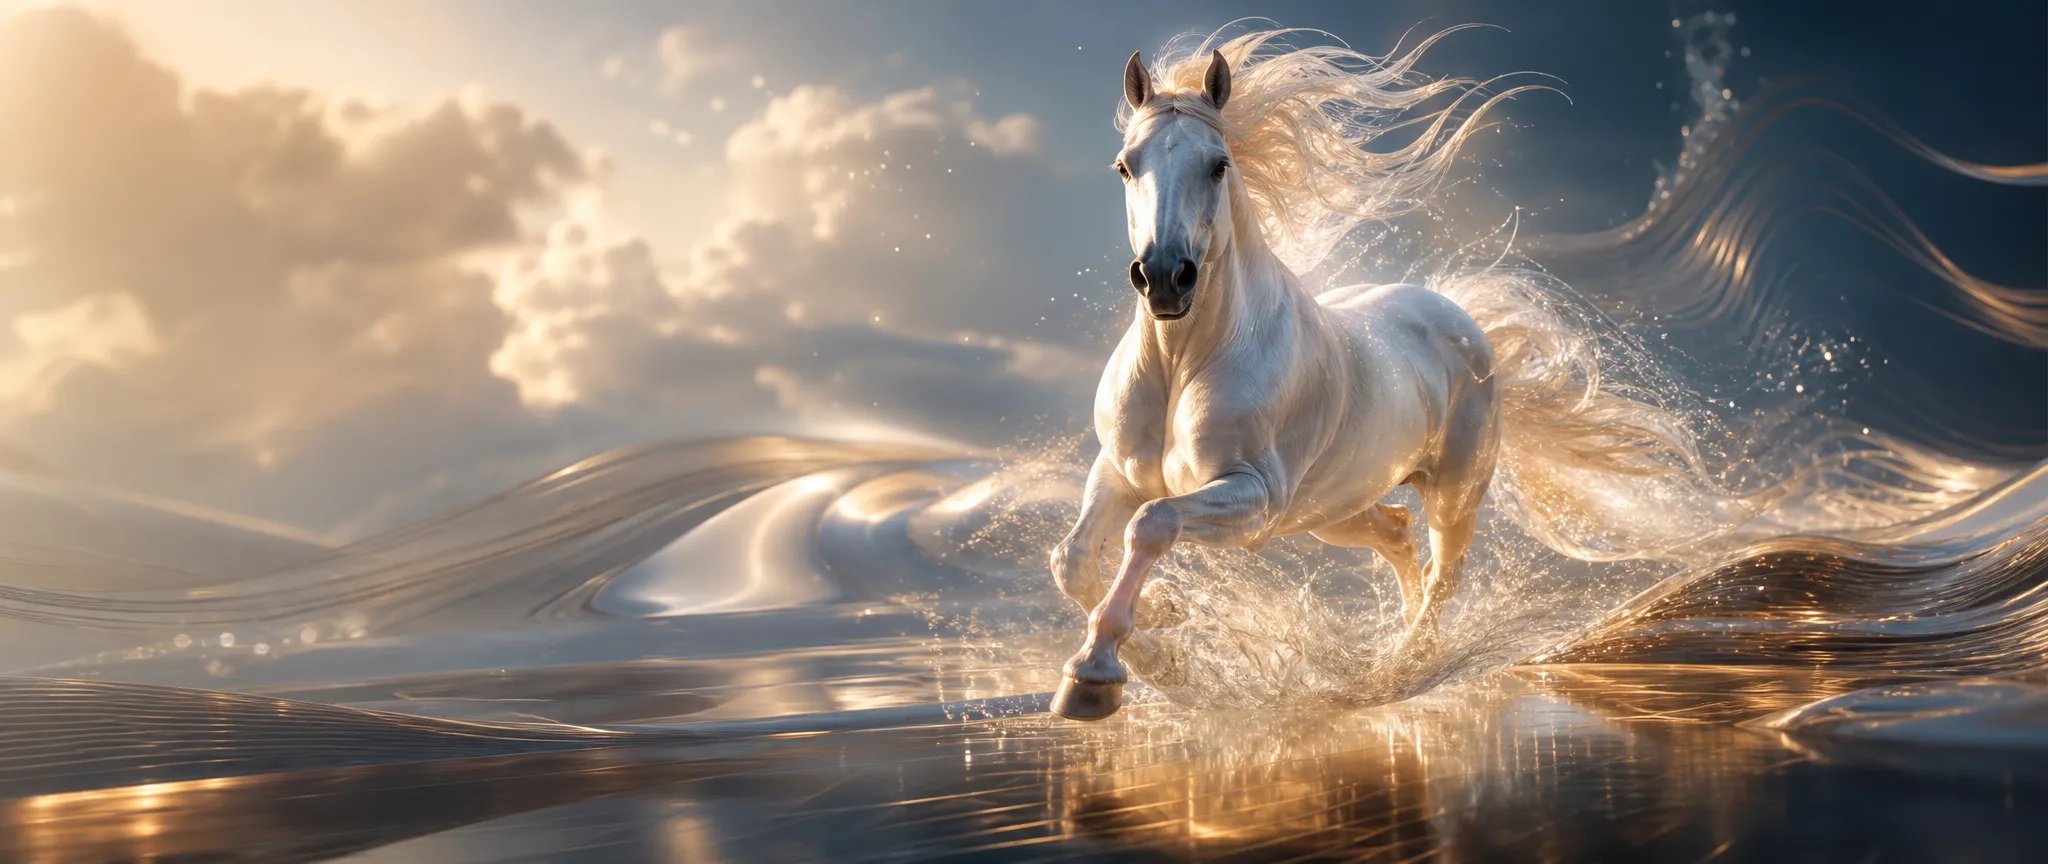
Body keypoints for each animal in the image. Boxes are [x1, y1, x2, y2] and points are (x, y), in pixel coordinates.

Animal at [1048, 31, 1700, 721]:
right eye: (1126, 165)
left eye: (1219, 164)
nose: (1165, 279)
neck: (1185, 361)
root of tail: (1460, 319)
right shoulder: (1121, 471)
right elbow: (1073, 558)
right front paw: (1158, 637)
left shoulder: (1251, 495)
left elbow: (1152, 524)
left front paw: (1098, 673)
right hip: (1333, 508)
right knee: (1395, 536)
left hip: (1450, 496)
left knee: (1442, 576)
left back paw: (1401, 672)